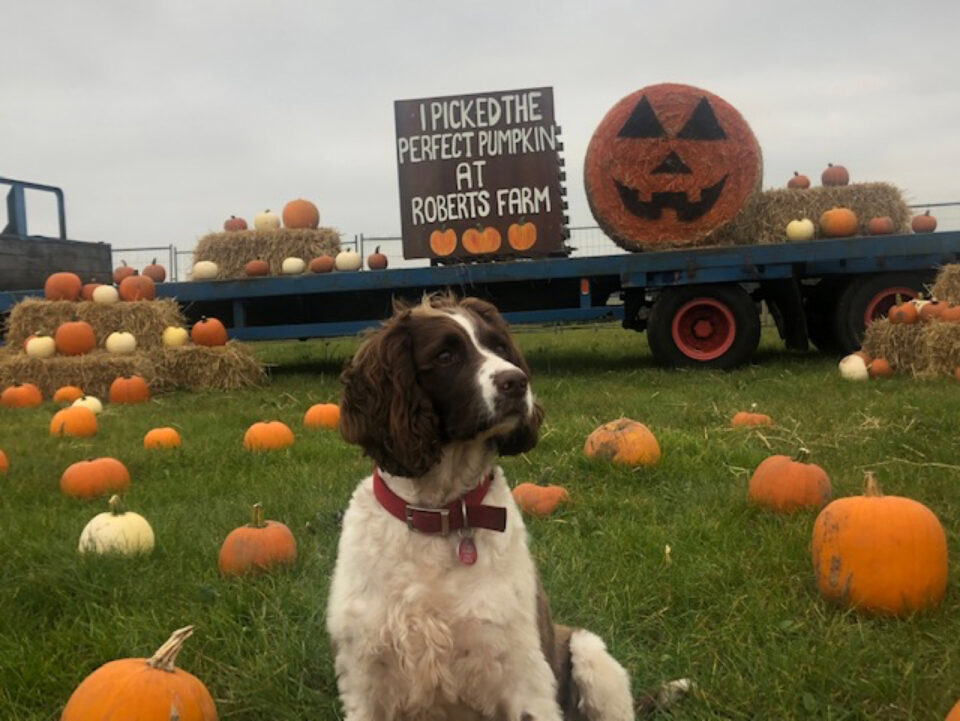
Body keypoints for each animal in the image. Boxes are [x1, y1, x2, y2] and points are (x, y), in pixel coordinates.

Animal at [330, 294, 688, 720]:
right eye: (446, 355)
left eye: (499, 346)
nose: (517, 382)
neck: (442, 515)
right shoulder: (366, 683)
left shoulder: (522, 674)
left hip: (590, 653)